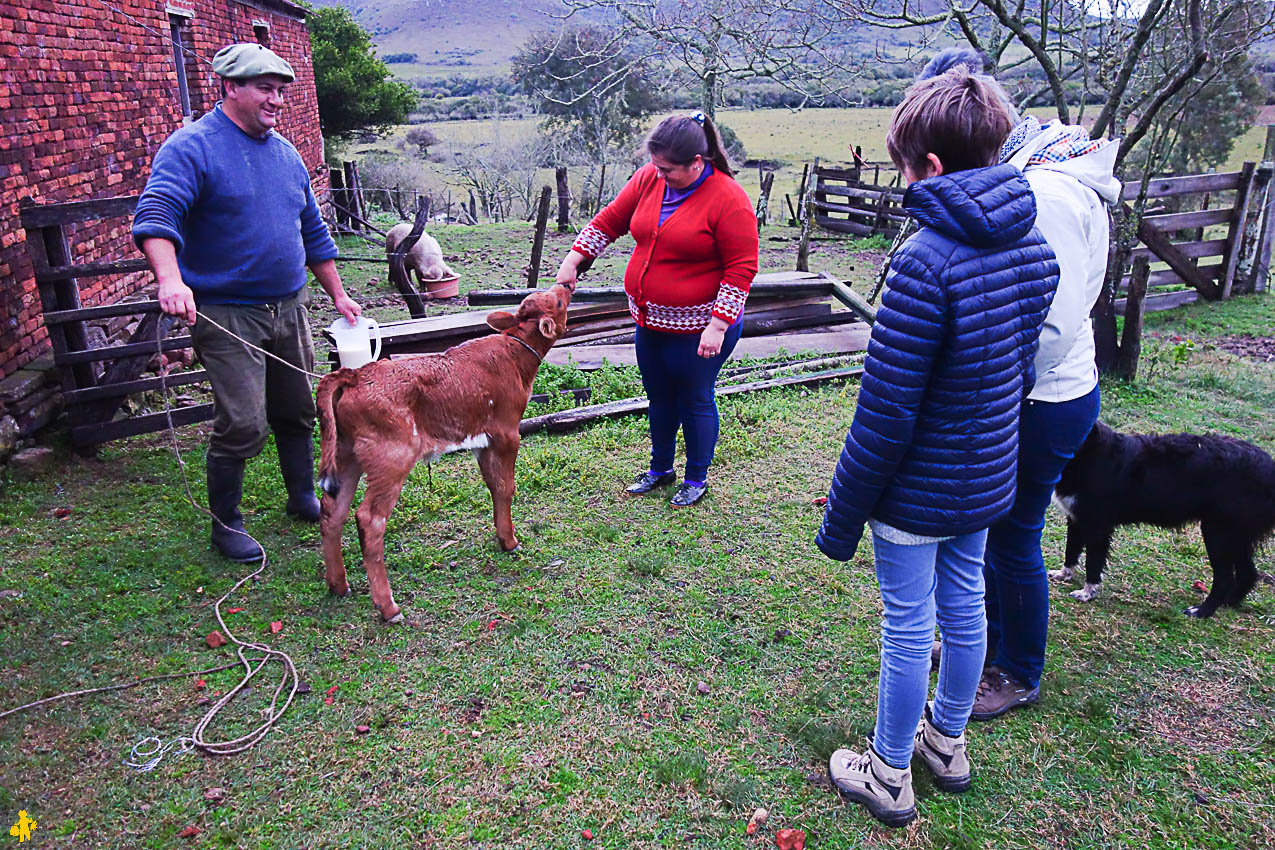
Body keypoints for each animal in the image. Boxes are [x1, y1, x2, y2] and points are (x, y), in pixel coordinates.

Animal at [316, 285, 576, 624]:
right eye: (557, 301)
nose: (567, 286)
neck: (514, 352)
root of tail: (355, 375)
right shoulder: (507, 431)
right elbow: (507, 486)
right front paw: (511, 541)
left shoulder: (482, 439)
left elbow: (495, 486)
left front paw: (503, 537)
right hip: (391, 457)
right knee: (370, 519)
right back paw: (388, 607)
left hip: (346, 454)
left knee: (333, 509)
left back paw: (338, 584)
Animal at [1045, 423, 1275, 619]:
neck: (1085, 450)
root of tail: (1269, 467)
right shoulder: (1075, 518)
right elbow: (1071, 551)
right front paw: (1063, 574)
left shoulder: (1097, 525)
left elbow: (1093, 563)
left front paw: (1087, 593)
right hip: (1235, 534)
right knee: (1248, 573)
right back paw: (1227, 603)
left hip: (1217, 532)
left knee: (1226, 578)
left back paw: (1202, 611)